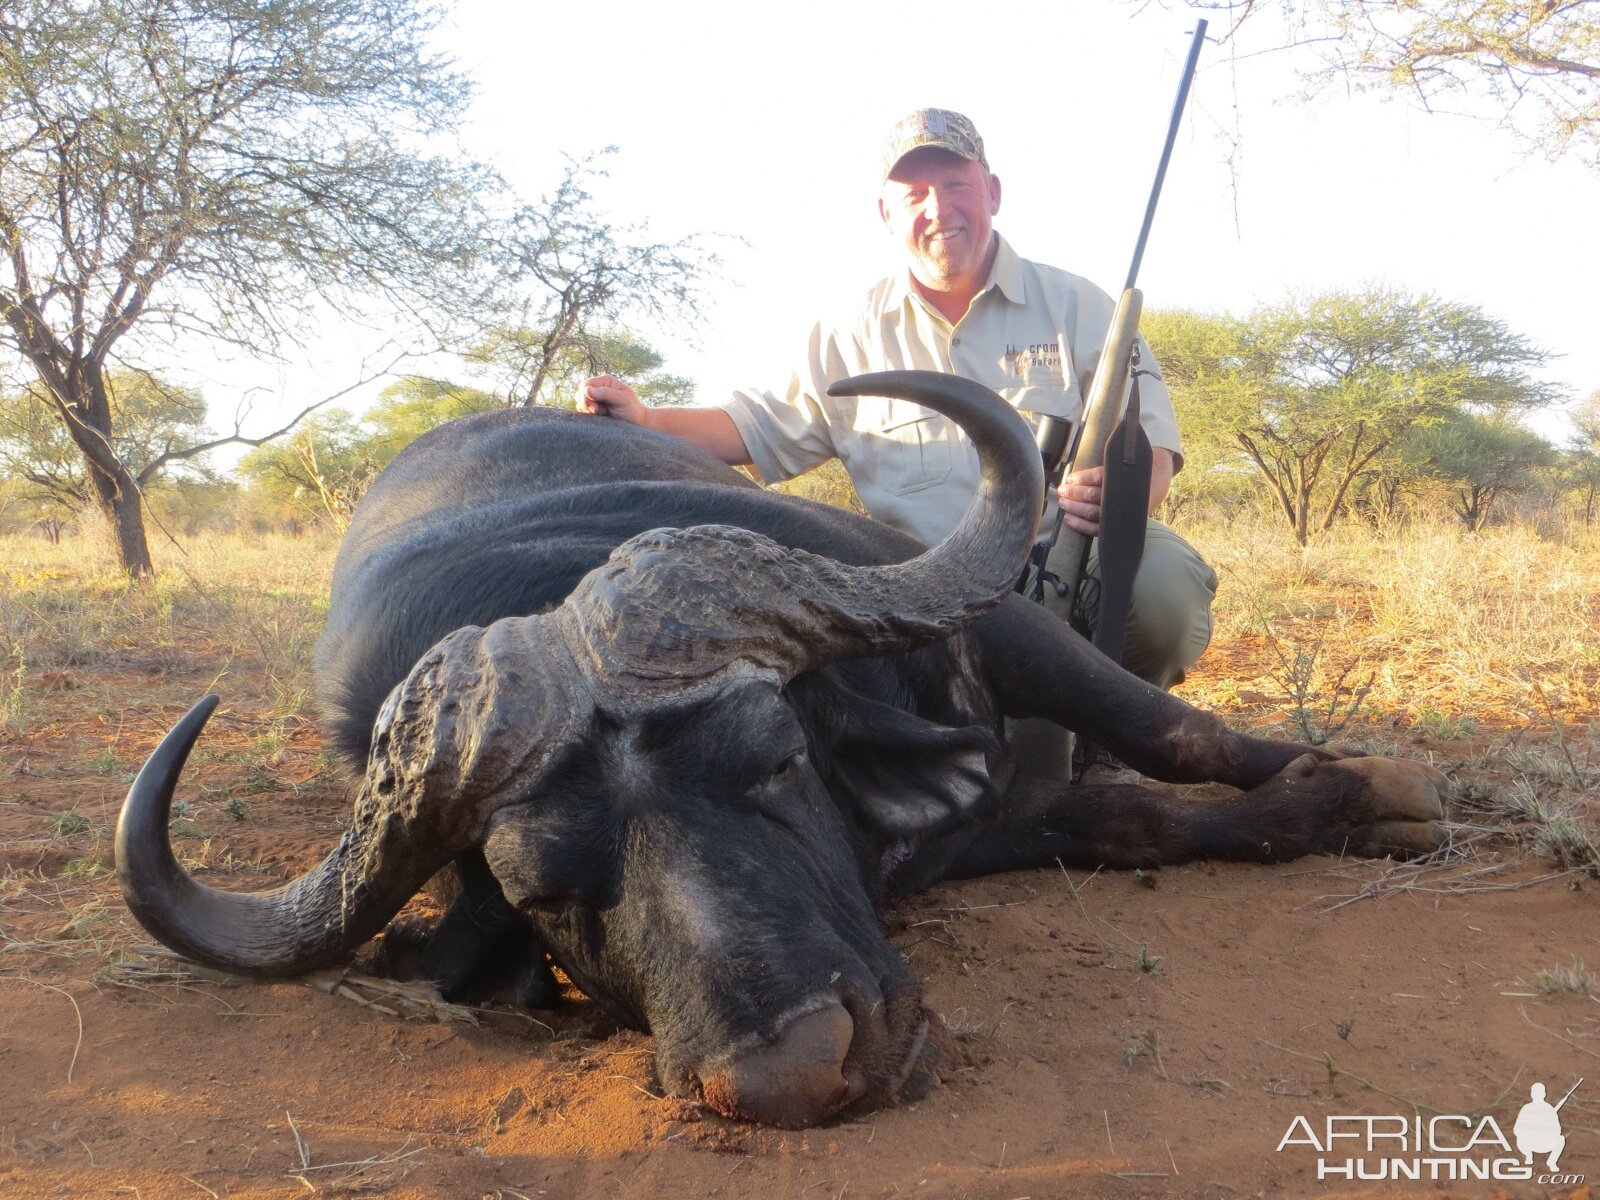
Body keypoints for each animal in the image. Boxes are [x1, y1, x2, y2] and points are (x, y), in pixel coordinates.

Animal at [118, 371, 1446, 1132]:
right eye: (539, 892)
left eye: (774, 761)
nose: (797, 1070)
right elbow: (1117, 818)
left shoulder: (989, 627)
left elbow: (1166, 731)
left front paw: (1371, 786)